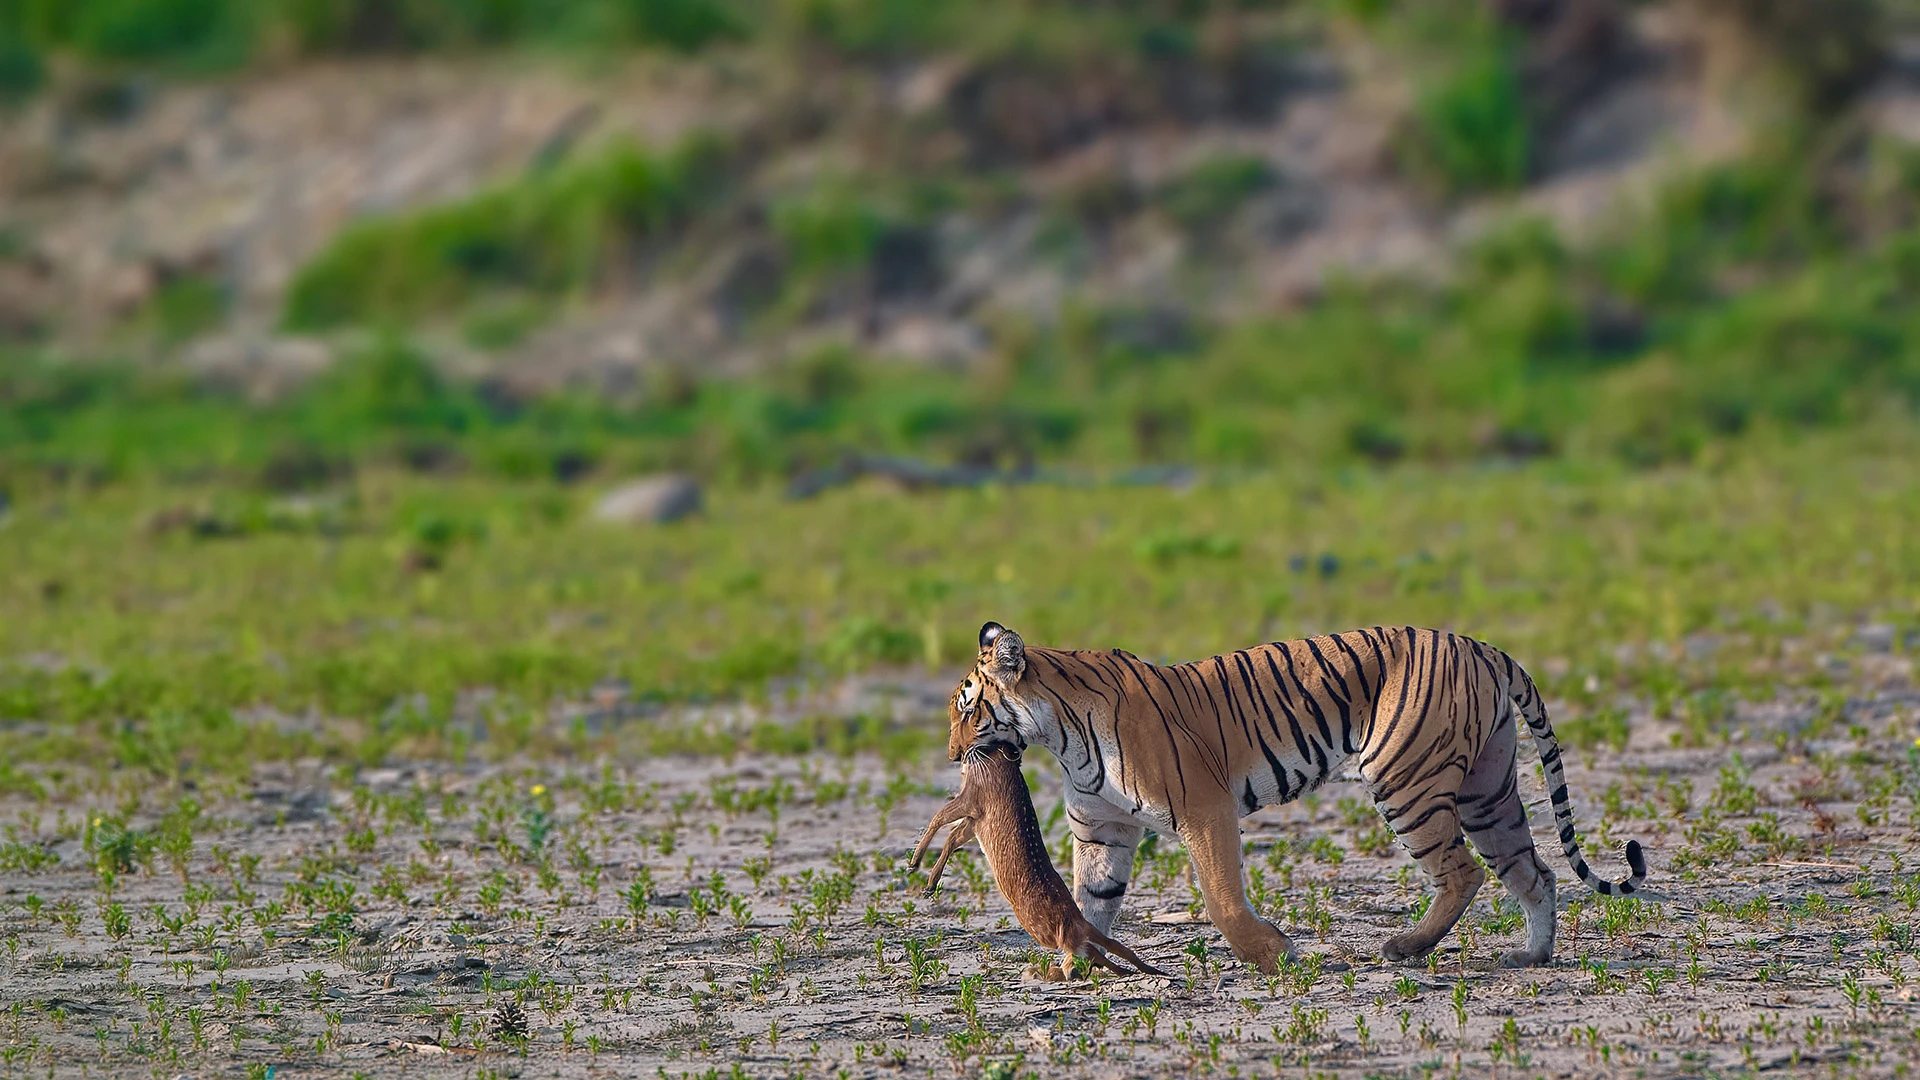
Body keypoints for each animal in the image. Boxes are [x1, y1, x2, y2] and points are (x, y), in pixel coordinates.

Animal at [944, 622, 1635, 968]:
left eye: (968, 708)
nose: (951, 756)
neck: (1060, 733)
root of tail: (1483, 646)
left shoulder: (1205, 808)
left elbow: (1221, 898)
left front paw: (1274, 953)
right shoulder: (1102, 829)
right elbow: (1091, 901)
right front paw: (1076, 960)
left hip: (1405, 780)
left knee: (1462, 871)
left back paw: (1404, 948)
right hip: (1485, 791)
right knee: (1535, 870)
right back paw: (1532, 956)